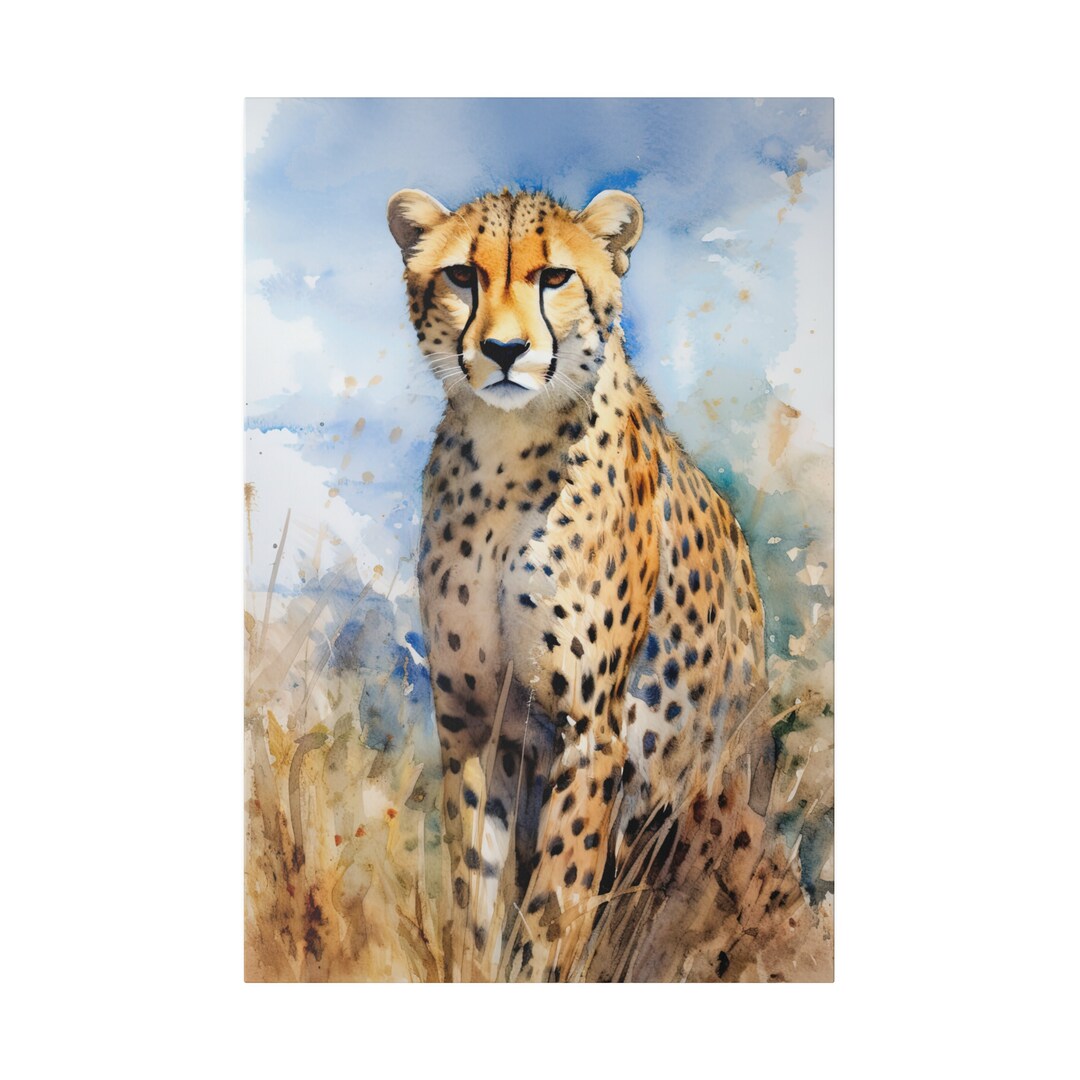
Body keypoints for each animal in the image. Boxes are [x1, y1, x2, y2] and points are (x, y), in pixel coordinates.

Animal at [388, 186, 767, 981]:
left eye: (555, 278)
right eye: (462, 276)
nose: (504, 351)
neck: (505, 456)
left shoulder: (591, 735)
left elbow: (556, 902)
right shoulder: (472, 721)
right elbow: (475, 885)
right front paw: (473, 967)